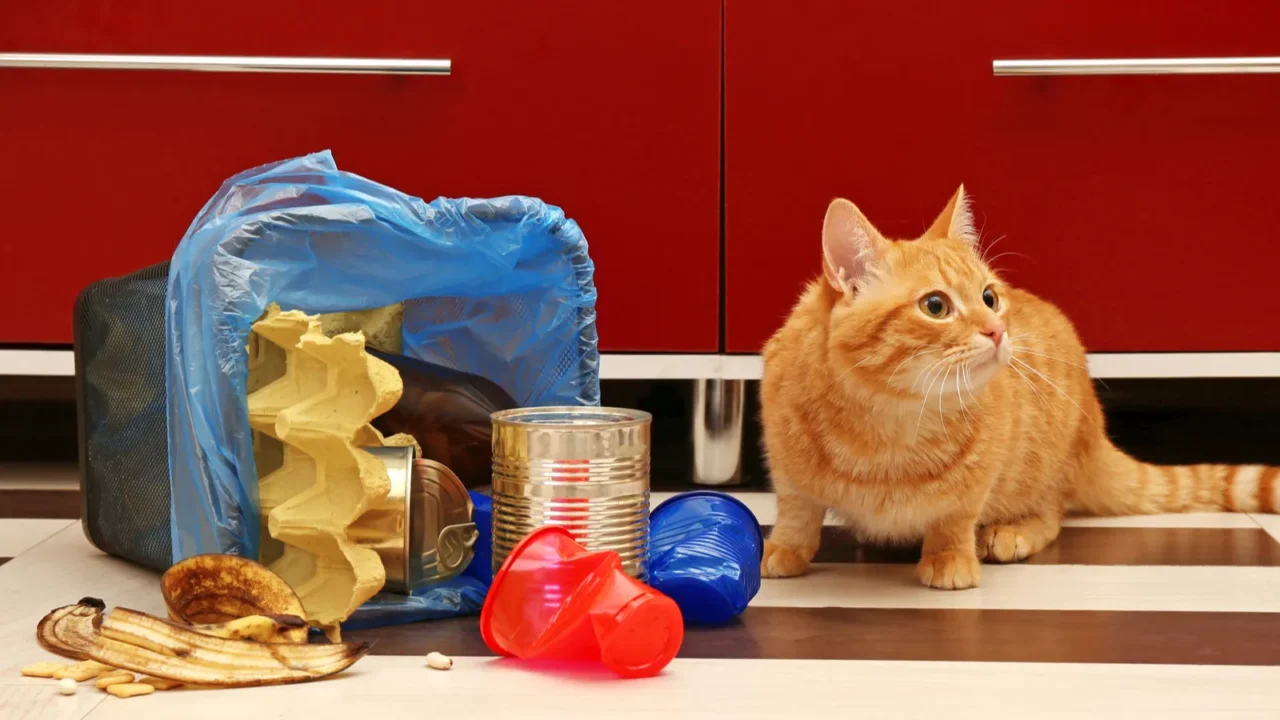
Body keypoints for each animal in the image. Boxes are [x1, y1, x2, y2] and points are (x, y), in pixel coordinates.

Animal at [762, 188, 1274, 586]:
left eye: (990, 297)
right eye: (935, 306)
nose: (997, 330)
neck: (887, 423)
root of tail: (1095, 431)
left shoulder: (978, 477)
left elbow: (954, 516)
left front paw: (949, 557)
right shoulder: (785, 467)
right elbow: (795, 513)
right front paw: (782, 550)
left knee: (1053, 514)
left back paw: (1014, 532)